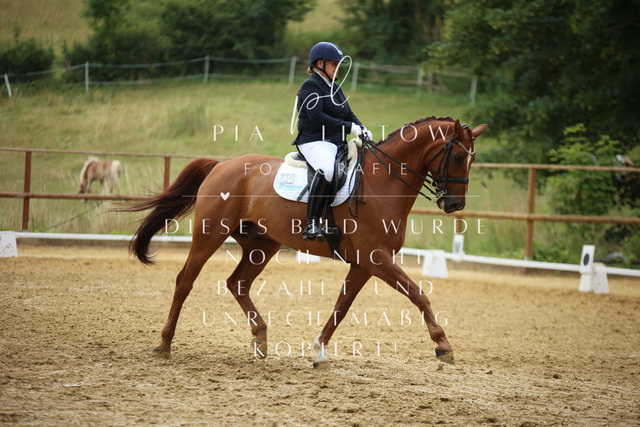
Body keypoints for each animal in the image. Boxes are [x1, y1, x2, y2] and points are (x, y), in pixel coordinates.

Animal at [128, 117, 487, 368]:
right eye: (457, 156)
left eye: (472, 159)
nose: (454, 205)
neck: (382, 182)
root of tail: (222, 165)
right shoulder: (377, 258)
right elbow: (419, 294)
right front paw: (443, 346)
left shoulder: (365, 264)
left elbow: (342, 306)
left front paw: (320, 351)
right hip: (210, 234)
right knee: (185, 281)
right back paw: (164, 344)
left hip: (262, 245)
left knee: (237, 282)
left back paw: (260, 339)